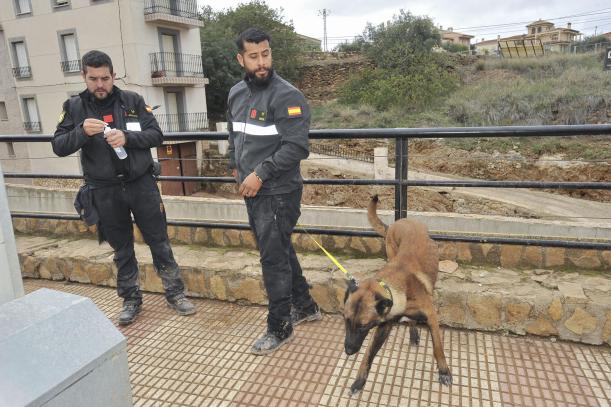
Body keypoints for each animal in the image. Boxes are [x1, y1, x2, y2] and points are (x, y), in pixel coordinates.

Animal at [342, 196, 452, 394]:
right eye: (345, 320)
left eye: (364, 326)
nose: (348, 351)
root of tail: (400, 221)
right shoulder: (384, 326)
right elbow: (368, 354)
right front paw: (360, 380)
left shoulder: (432, 316)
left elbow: (438, 347)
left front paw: (444, 371)